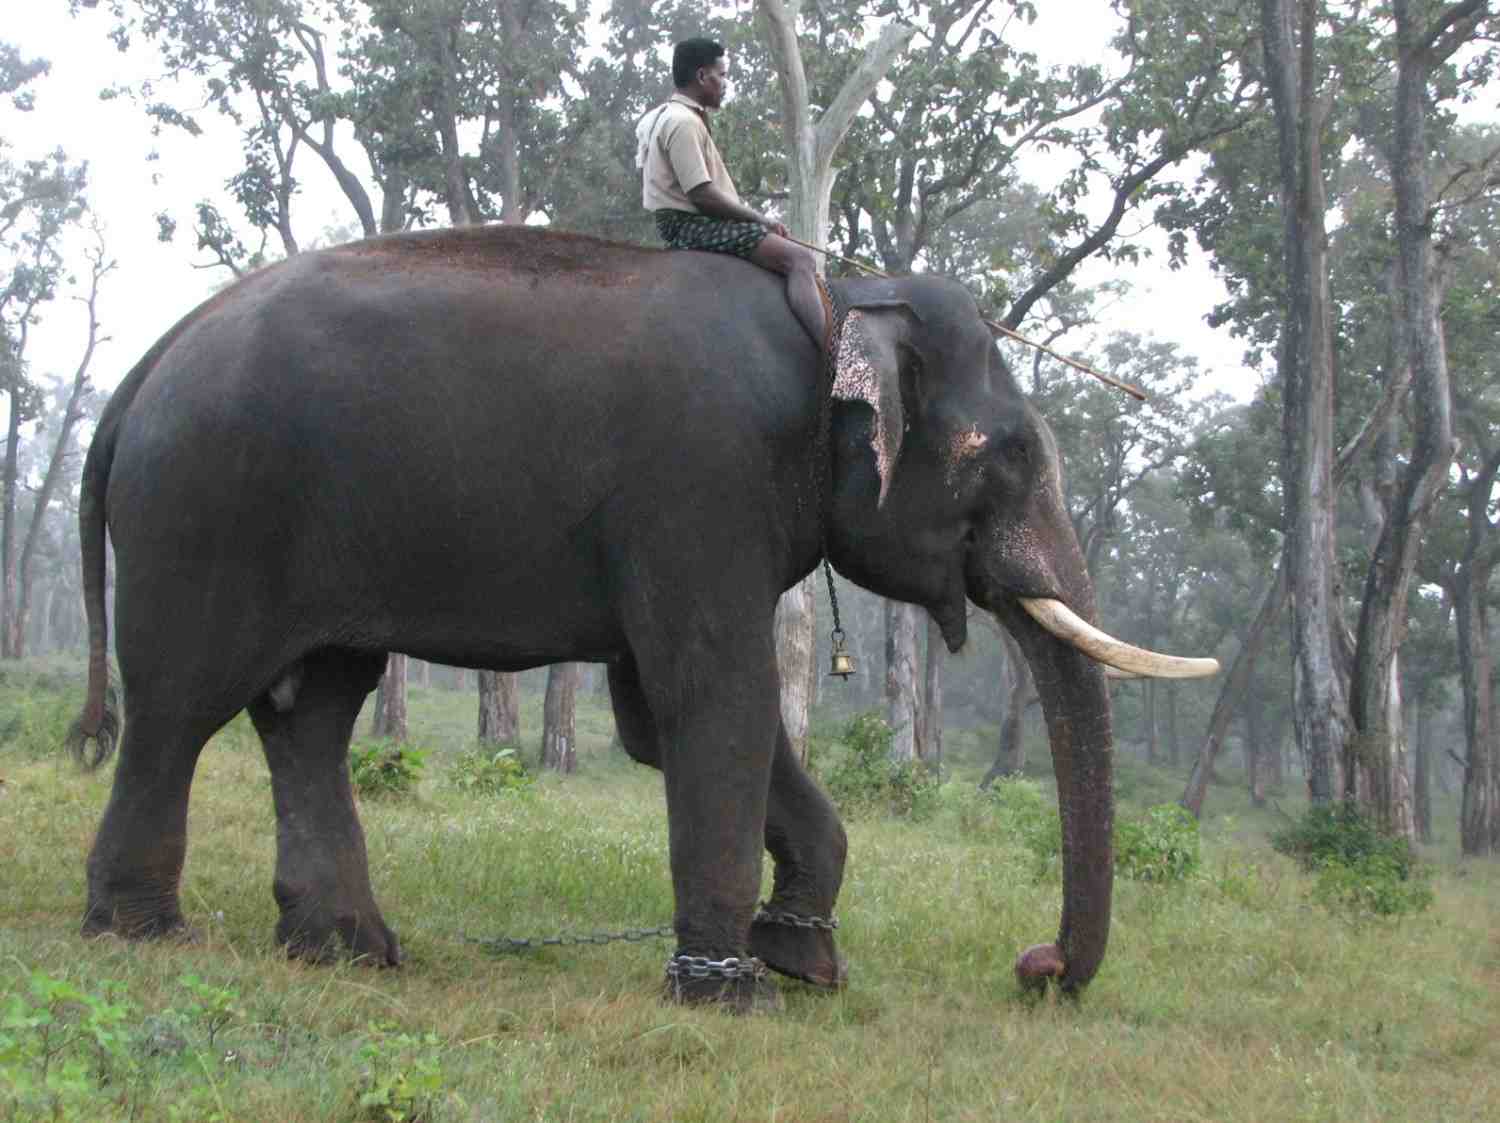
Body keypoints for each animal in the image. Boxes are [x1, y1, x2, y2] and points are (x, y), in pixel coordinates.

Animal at [70, 223, 1218, 1001]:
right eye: (1011, 455)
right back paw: (146, 935)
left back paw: (350, 951)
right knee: (180, 706)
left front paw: (801, 959)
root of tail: (138, 373)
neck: (838, 299)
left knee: (309, 710)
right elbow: (716, 696)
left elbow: (659, 717)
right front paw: (729, 993)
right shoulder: (701, 480)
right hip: (206, 511)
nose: (1038, 964)